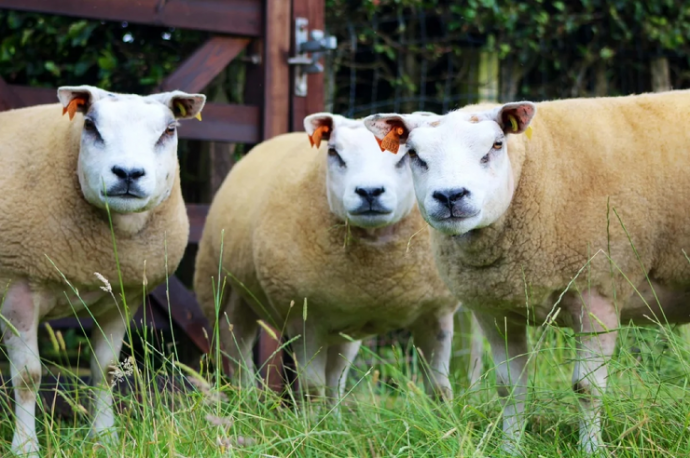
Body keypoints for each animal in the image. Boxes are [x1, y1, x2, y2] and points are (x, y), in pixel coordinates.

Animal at [0, 85, 204, 454]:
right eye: (90, 126)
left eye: (169, 130)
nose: (128, 173)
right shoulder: (18, 289)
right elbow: (28, 377)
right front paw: (25, 447)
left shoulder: (121, 299)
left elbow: (105, 371)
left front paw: (105, 438)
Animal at [194, 112, 482, 402]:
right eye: (333, 152)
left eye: (406, 155)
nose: (369, 192)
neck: (377, 277)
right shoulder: (304, 317)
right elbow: (311, 388)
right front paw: (312, 415)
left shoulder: (436, 314)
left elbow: (439, 387)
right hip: (222, 292)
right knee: (237, 351)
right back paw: (247, 400)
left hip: (344, 325)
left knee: (336, 375)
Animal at [366, 90, 690, 454]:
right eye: (414, 154)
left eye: (496, 145)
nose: (450, 196)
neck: (531, 172)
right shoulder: (495, 310)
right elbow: (509, 387)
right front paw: (510, 447)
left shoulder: (598, 293)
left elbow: (587, 388)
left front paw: (591, 450)